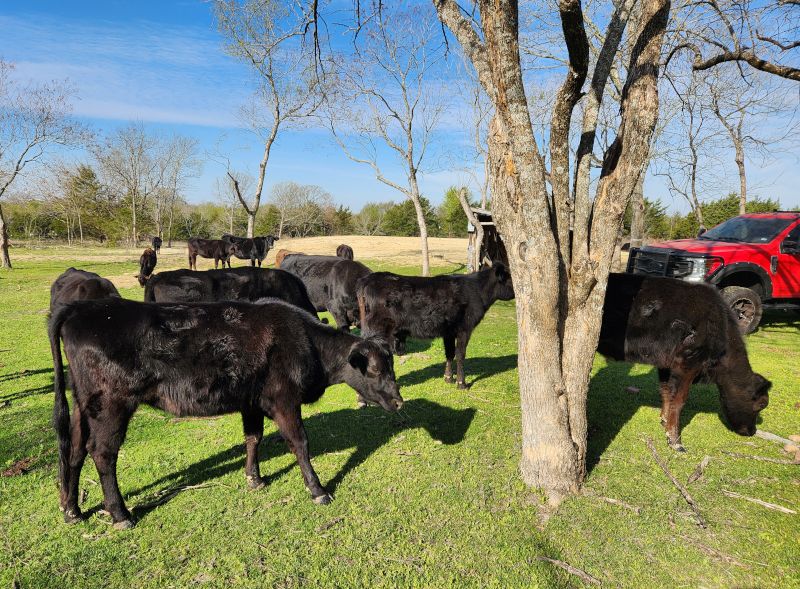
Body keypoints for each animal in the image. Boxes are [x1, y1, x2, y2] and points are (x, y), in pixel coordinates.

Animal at [48, 298, 400, 528]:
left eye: (391, 365)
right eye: (375, 369)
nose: (399, 402)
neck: (304, 341)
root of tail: (81, 308)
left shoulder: (251, 401)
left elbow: (253, 437)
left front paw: (254, 478)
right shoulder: (284, 400)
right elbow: (300, 443)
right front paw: (318, 490)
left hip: (83, 404)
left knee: (75, 449)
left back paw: (72, 510)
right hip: (111, 404)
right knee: (102, 453)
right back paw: (121, 515)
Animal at [358, 264, 520, 388]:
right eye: (510, 279)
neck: (477, 291)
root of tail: (369, 279)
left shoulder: (448, 331)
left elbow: (450, 353)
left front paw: (448, 378)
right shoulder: (464, 328)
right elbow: (460, 354)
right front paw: (461, 383)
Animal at [600, 274, 768, 450]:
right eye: (762, 404)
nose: (752, 431)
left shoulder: (666, 364)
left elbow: (666, 391)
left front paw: (665, 421)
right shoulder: (689, 362)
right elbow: (680, 400)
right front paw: (675, 441)